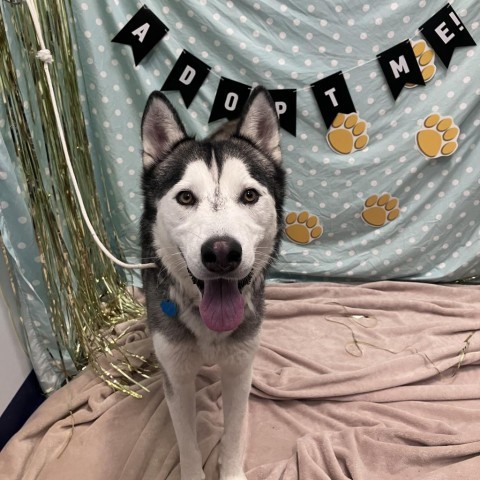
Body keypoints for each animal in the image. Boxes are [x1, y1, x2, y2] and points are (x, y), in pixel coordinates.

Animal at [141, 87, 286, 480]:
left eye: (249, 195)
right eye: (186, 197)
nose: (222, 253)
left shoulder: (238, 369)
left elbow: (234, 433)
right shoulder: (176, 377)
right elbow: (187, 445)